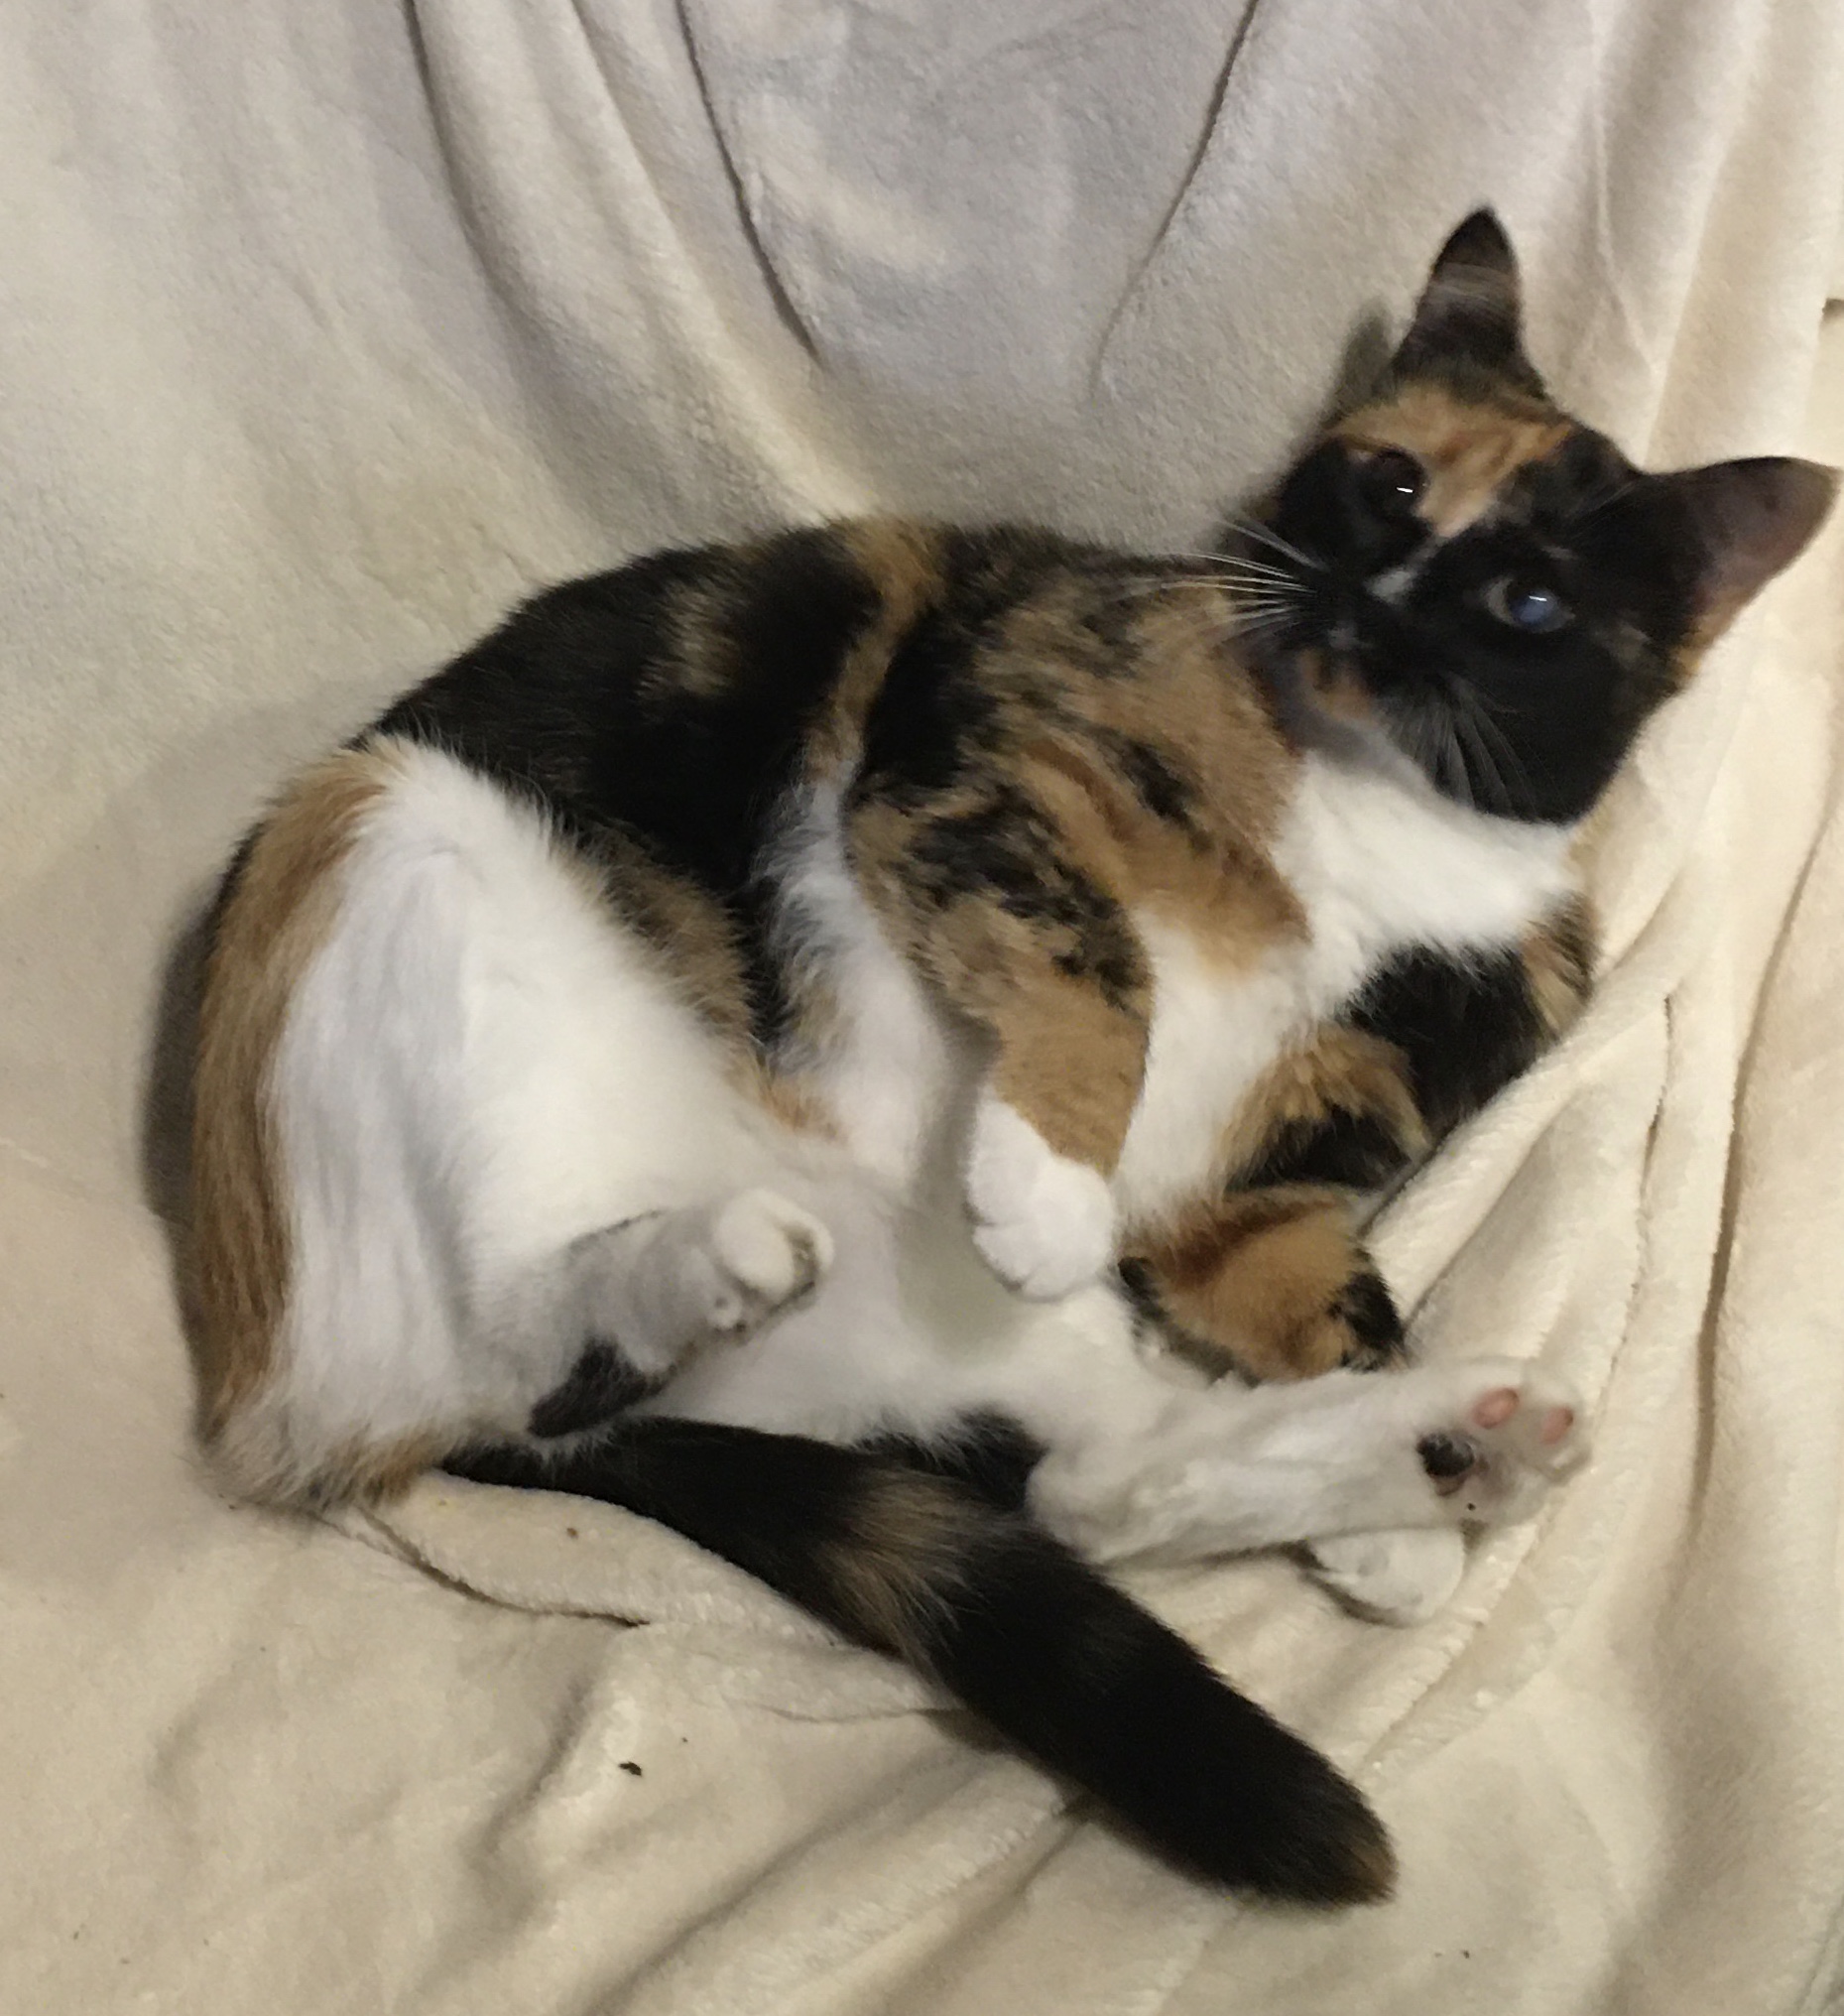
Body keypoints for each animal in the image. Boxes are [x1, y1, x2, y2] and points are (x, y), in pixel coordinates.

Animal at [186, 211, 1834, 1904]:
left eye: (1526, 601)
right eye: (1385, 483)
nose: (1371, 602)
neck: (1388, 821)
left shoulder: (1258, 1188)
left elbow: (1321, 1296)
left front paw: (1391, 1517)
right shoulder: (972, 768)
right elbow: (1091, 963)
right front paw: (1046, 1183)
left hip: (940, 1339)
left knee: (1092, 1487)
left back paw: (1463, 1446)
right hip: (395, 863)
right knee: (523, 1343)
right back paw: (705, 1255)